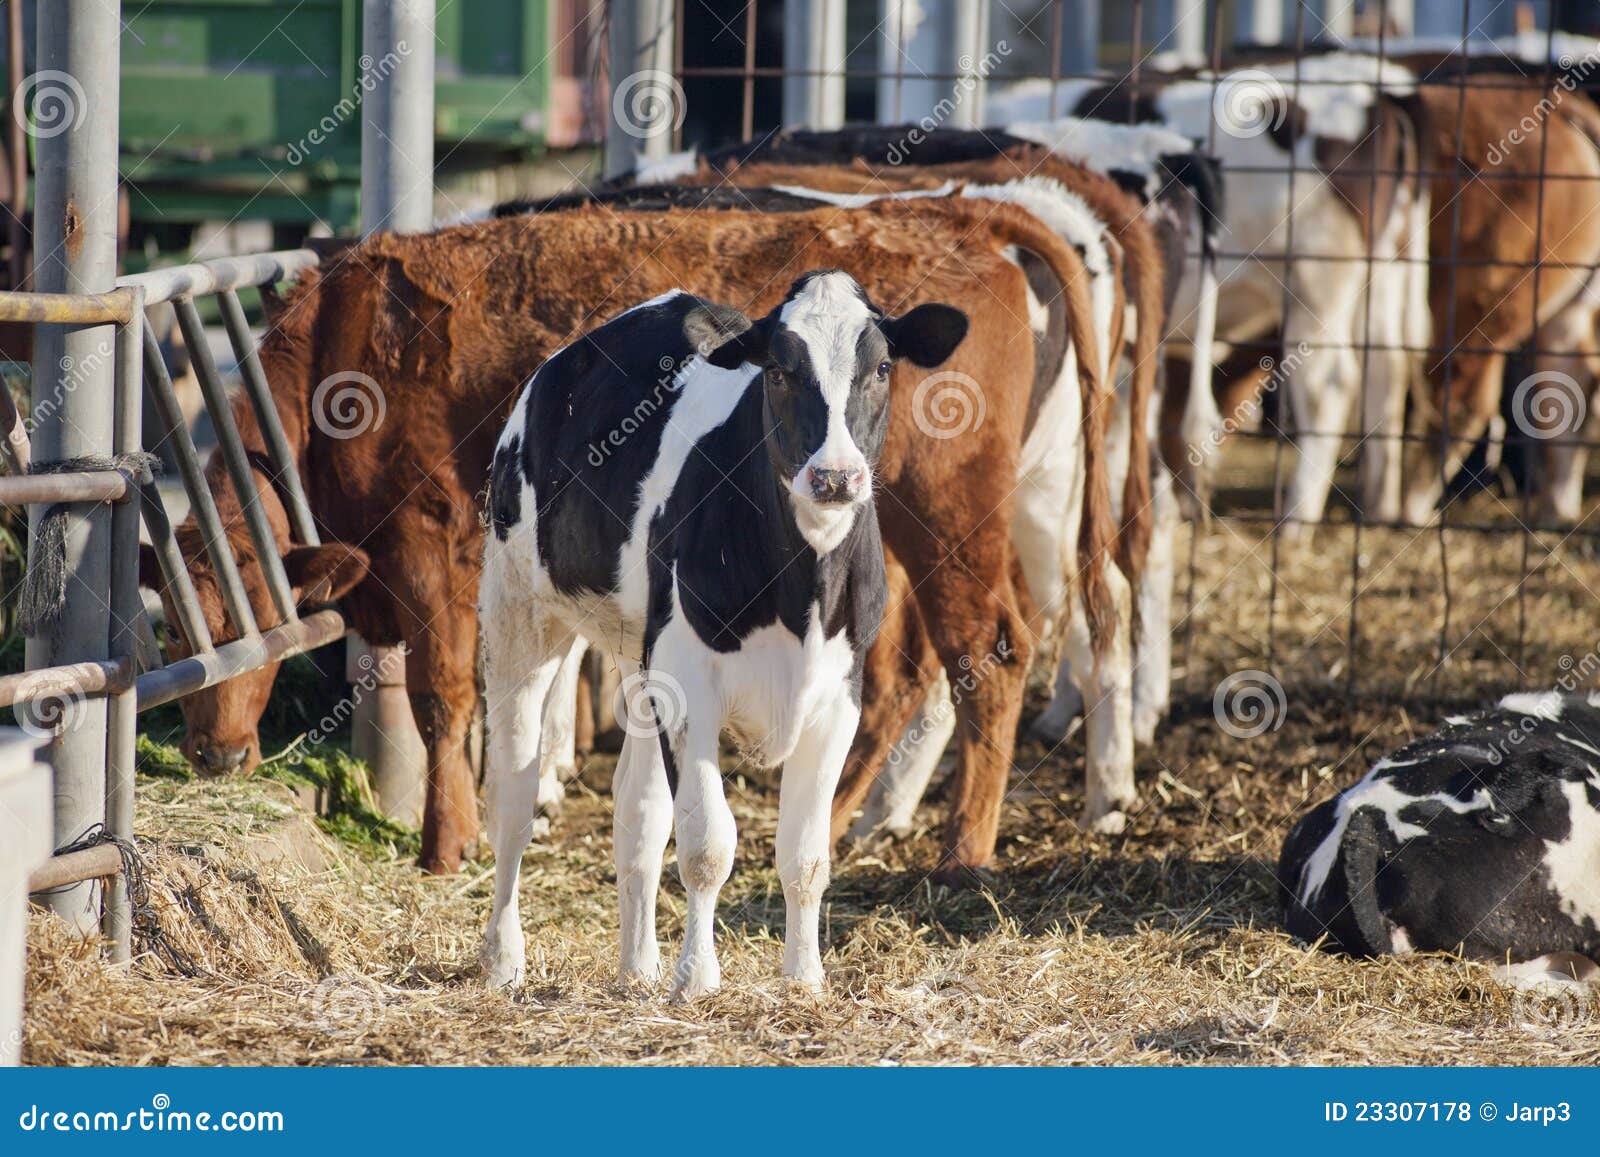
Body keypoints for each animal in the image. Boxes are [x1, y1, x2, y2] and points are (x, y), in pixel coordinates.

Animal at [137, 198, 1112, 877]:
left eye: (262, 617)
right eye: (177, 627)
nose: (215, 753)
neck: (347, 352)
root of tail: (961, 217)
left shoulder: (427, 545)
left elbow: (443, 697)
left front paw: (448, 842)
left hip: (948, 518)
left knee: (991, 650)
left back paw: (964, 849)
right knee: (908, 675)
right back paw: (835, 822)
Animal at [476, 277, 967, 996]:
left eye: (881, 368)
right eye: (780, 371)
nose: (834, 477)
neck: (803, 590)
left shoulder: (837, 695)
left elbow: (804, 853)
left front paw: (804, 978)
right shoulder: (689, 684)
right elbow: (707, 842)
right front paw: (697, 978)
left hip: (638, 654)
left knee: (637, 811)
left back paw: (637, 966)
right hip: (520, 612)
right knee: (512, 795)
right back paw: (504, 958)